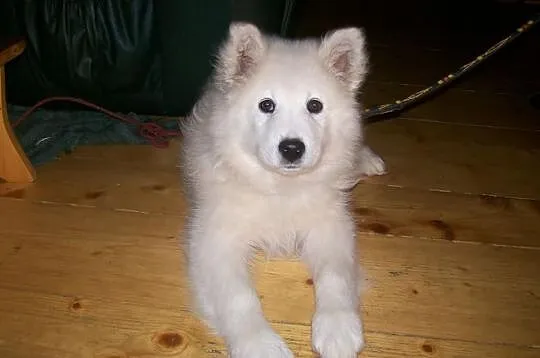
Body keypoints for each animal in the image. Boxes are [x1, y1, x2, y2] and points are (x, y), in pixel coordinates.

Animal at [184, 23, 386, 358]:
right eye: (266, 105)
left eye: (315, 106)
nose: (292, 148)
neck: (280, 188)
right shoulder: (215, 240)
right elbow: (239, 296)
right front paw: (258, 343)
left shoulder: (331, 226)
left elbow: (335, 276)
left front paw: (338, 327)